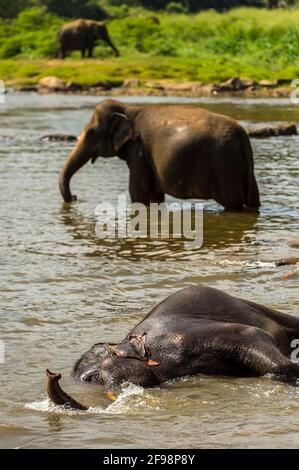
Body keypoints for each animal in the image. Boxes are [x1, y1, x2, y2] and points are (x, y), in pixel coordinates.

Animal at [59, 98, 262, 210]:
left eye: (91, 132)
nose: (75, 197)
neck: (129, 107)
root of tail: (242, 133)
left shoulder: (139, 149)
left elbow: (138, 191)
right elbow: (155, 195)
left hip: (224, 165)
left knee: (233, 204)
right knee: (253, 201)